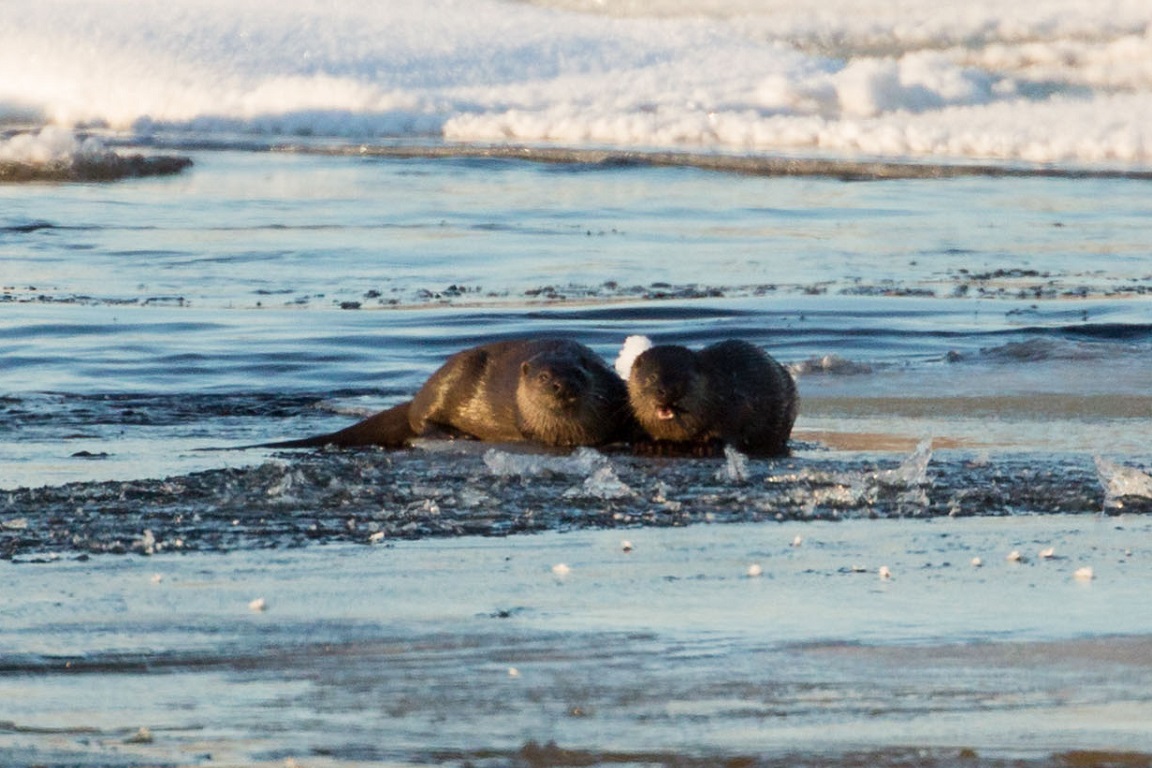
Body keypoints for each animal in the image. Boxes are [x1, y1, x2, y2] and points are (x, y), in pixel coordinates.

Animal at [258, 338, 635, 451]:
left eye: (579, 373)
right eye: (544, 377)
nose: (563, 386)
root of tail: (417, 395)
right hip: (447, 382)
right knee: (420, 420)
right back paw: (453, 433)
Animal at [626, 338, 797, 455]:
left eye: (683, 377)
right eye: (652, 377)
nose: (667, 390)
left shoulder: (737, 405)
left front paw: (707, 445)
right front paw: (651, 444)